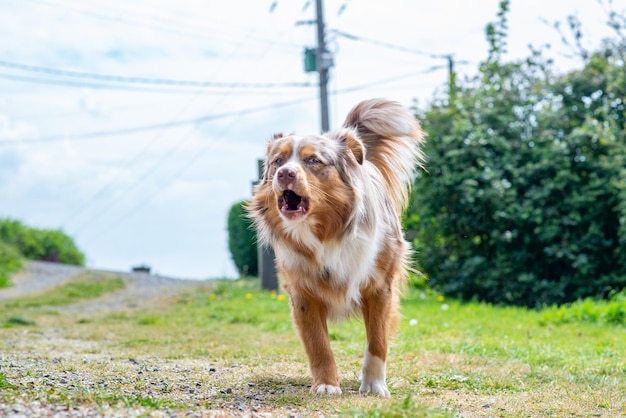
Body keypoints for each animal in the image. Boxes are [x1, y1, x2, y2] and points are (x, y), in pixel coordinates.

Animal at [247, 98, 424, 396]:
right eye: (277, 161)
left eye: (313, 160)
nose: (284, 173)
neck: (326, 234)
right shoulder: (302, 292)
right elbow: (318, 344)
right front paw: (326, 385)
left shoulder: (380, 287)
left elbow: (377, 341)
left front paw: (374, 385)